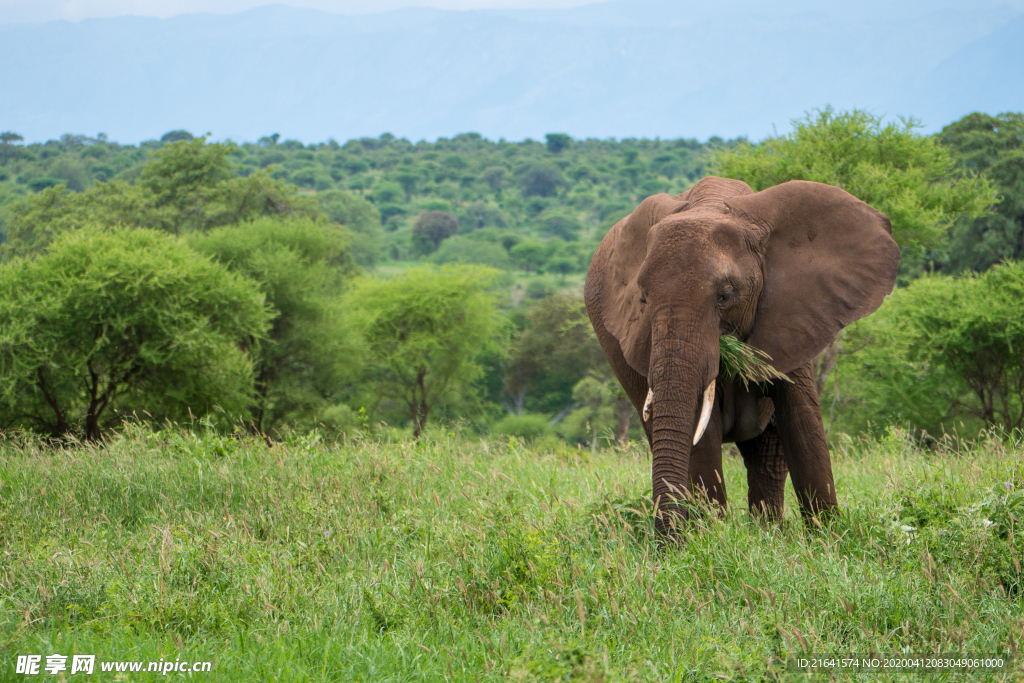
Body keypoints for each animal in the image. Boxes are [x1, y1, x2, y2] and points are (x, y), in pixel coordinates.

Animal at [585, 175, 897, 532]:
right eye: (643, 299)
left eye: (725, 295)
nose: (666, 540)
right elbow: (703, 435)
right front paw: (713, 536)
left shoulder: (794, 313)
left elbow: (802, 421)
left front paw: (828, 535)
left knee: (768, 453)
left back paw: (768, 531)